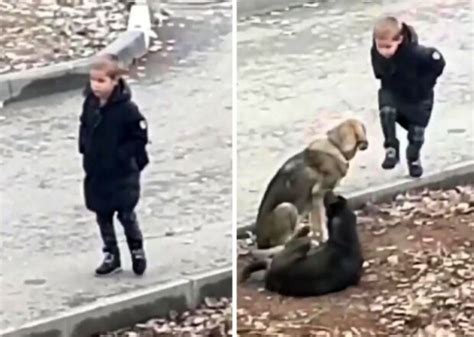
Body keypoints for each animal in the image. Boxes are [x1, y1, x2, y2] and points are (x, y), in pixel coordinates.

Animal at [244, 117, 370, 251]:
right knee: (283, 243)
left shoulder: (313, 201)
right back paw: (300, 234)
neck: (334, 145)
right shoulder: (318, 193)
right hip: (287, 207)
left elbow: (316, 223)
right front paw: (324, 239)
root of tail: (259, 243)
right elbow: (321, 221)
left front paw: (316, 239)